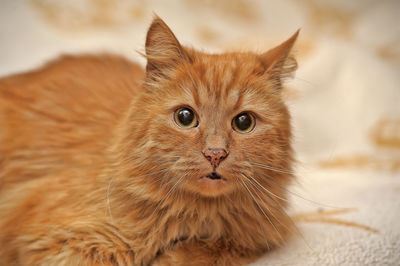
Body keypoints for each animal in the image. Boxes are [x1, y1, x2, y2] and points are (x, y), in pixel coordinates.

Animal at [0, 17, 298, 266]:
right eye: (185, 117)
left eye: (244, 123)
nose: (215, 154)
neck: (196, 216)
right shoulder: (57, 241)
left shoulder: (254, 238)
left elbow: (211, 252)